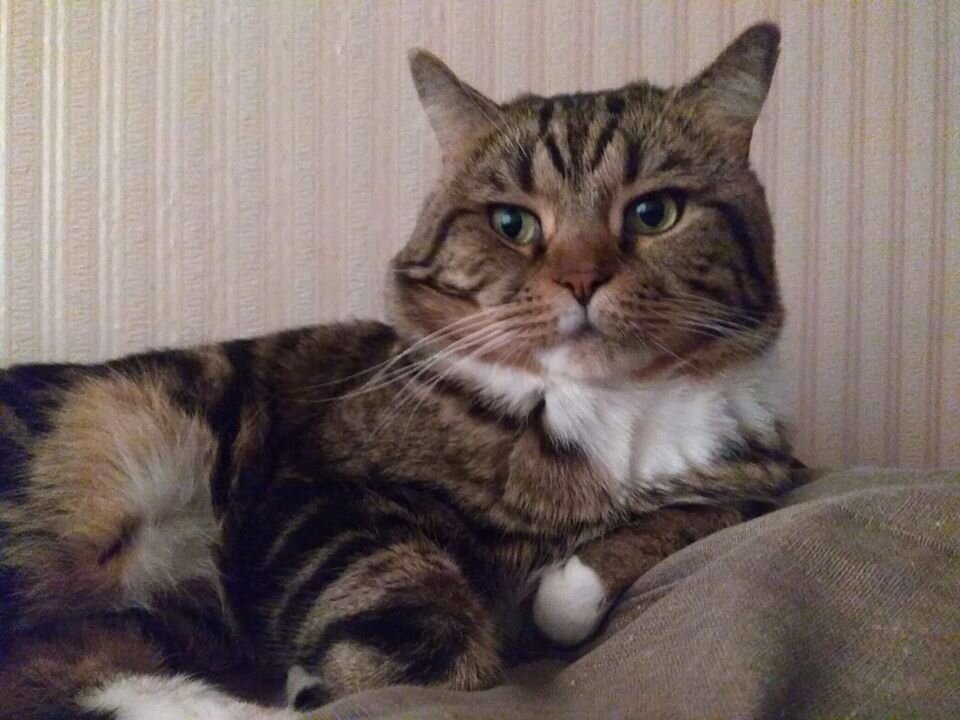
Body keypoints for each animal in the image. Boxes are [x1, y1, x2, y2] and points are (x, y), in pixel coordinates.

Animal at [0, 23, 793, 718]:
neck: (606, 411)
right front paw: (334, 675)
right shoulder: (311, 495)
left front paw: (570, 584)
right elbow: (428, 614)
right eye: (512, 224)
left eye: (655, 213)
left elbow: (684, 522)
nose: (581, 278)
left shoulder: (770, 475)